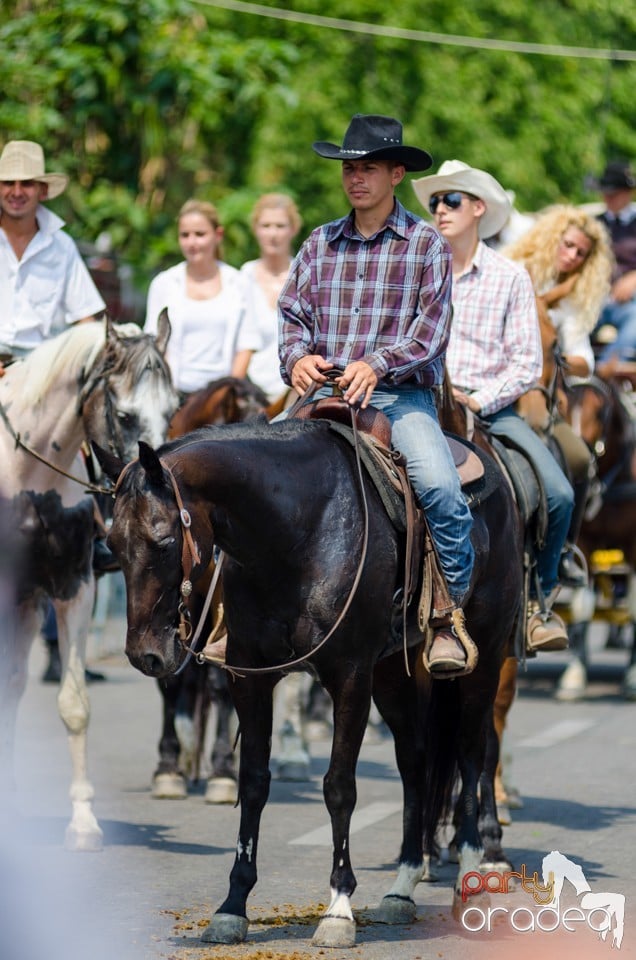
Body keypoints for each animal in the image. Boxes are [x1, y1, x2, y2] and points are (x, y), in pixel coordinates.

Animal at [95, 416, 520, 948]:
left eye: (165, 541)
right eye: (112, 544)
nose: (145, 654)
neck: (297, 534)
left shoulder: (350, 679)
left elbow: (339, 787)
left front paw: (338, 908)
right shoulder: (250, 677)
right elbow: (253, 783)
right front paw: (233, 905)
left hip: (483, 660)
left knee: (470, 752)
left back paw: (471, 880)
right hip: (392, 677)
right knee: (415, 761)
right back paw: (402, 887)